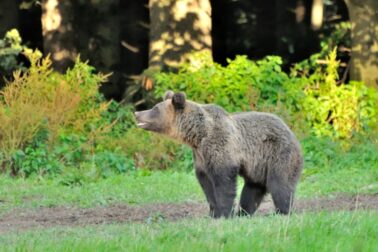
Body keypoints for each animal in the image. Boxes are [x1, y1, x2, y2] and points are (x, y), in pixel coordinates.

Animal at [134, 91, 302, 219]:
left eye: (154, 108)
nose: (137, 113)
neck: (198, 135)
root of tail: (291, 132)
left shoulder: (220, 147)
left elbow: (224, 182)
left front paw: (224, 213)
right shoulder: (201, 157)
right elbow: (207, 185)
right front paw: (213, 213)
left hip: (279, 153)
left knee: (280, 184)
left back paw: (281, 212)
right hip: (258, 165)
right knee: (252, 190)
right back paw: (243, 213)